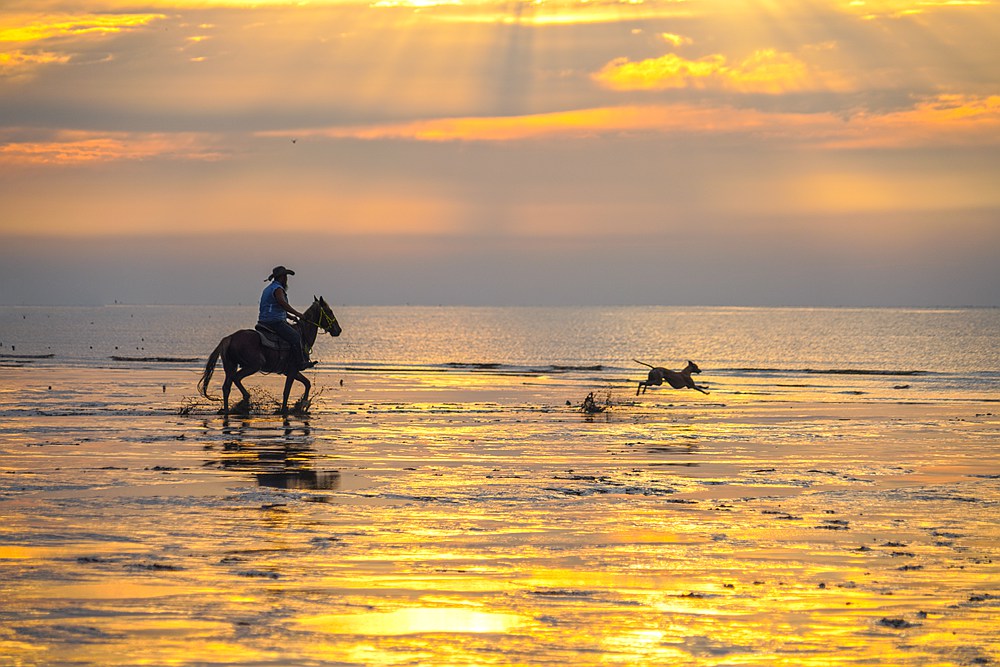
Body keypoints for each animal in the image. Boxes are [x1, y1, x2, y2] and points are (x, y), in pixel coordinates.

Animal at [197, 296, 342, 414]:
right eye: (329, 311)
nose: (338, 330)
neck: (302, 335)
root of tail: (230, 337)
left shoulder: (292, 371)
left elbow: (307, 383)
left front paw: (302, 405)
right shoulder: (292, 370)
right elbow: (286, 391)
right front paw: (285, 410)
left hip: (230, 366)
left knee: (227, 387)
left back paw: (228, 410)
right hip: (254, 365)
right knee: (236, 378)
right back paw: (245, 400)